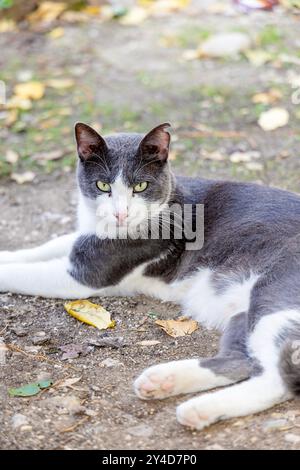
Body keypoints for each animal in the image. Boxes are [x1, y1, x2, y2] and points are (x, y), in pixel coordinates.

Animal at [0, 123, 300, 432]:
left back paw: (197, 408)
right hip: (243, 315)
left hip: (273, 296)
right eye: (103, 185)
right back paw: (165, 382)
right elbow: (47, 245)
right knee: (242, 361)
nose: (121, 214)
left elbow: (19, 272)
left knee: (278, 379)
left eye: (140, 186)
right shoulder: (82, 238)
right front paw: (7, 252)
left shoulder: (84, 274)